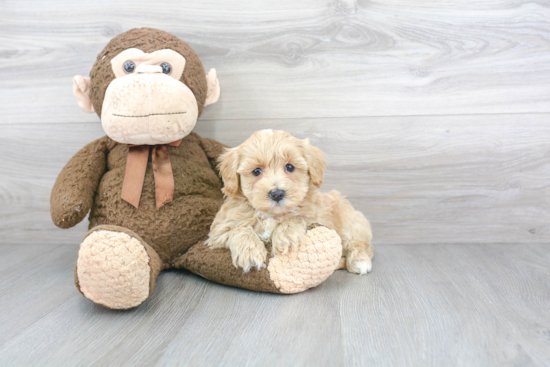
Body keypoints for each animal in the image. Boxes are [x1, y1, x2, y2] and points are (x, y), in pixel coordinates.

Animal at [207, 129, 376, 276]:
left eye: (290, 167)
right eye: (256, 171)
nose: (276, 194)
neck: (272, 215)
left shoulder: (316, 219)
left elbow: (296, 217)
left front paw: (285, 237)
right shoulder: (217, 233)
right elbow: (238, 229)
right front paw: (249, 252)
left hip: (350, 222)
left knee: (358, 244)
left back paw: (360, 262)